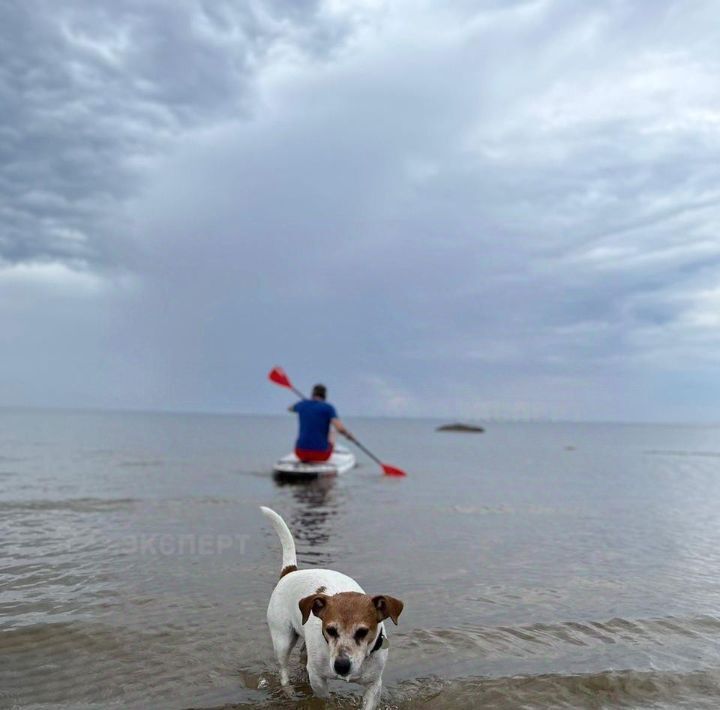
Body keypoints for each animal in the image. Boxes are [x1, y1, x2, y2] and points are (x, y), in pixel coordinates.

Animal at [260, 508, 404, 708]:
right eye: (330, 630)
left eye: (362, 632)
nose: (341, 666)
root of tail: (290, 572)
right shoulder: (318, 679)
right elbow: (325, 698)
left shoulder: (374, 685)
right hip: (282, 639)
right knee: (283, 670)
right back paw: (288, 691)